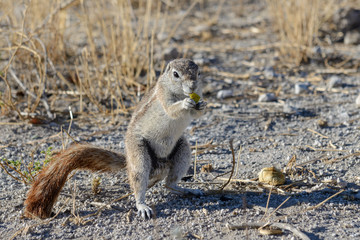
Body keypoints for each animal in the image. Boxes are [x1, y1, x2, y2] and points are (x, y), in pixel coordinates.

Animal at [23, 58, 207, 219]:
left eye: (198, 73)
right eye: (176, 74)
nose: (193, 86)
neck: (180, 93)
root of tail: (159, 166)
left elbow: (196, 114)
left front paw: (202, 104)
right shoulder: (163, 96)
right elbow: (171, 109)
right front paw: (184, 104)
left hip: (183, 150)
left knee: (169, 184)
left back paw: (189, 190)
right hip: (139, 155)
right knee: (140, 183)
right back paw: (142, 205)